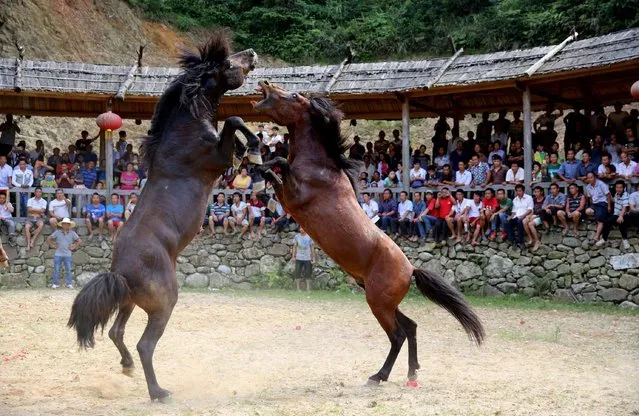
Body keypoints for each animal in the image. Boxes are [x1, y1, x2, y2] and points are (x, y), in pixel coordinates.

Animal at [69, 34, 258, 402]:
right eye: (227, 63)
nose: (253, 54)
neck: (183, 133)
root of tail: (120, 272)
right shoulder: (215, 157)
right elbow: (234, 121)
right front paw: (255, 144)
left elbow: (235, 125)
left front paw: (253, 149)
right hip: (164, 302)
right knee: (144, 344)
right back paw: (158, 391)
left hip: (130, 302)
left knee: (116, 332)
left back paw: (127, 368)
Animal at [255, 82, 484, 386]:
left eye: (293, 96)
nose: (266, 84)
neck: (321, 167)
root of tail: (411, 269)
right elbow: (276, 167)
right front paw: (259, 176)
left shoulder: (293, 196)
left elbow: (279, 164)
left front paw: (260, 169)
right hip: (386, 303)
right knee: (411, 327)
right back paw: (412, 371)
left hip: (378, 304)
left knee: (398, 335)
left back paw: (379, 376)